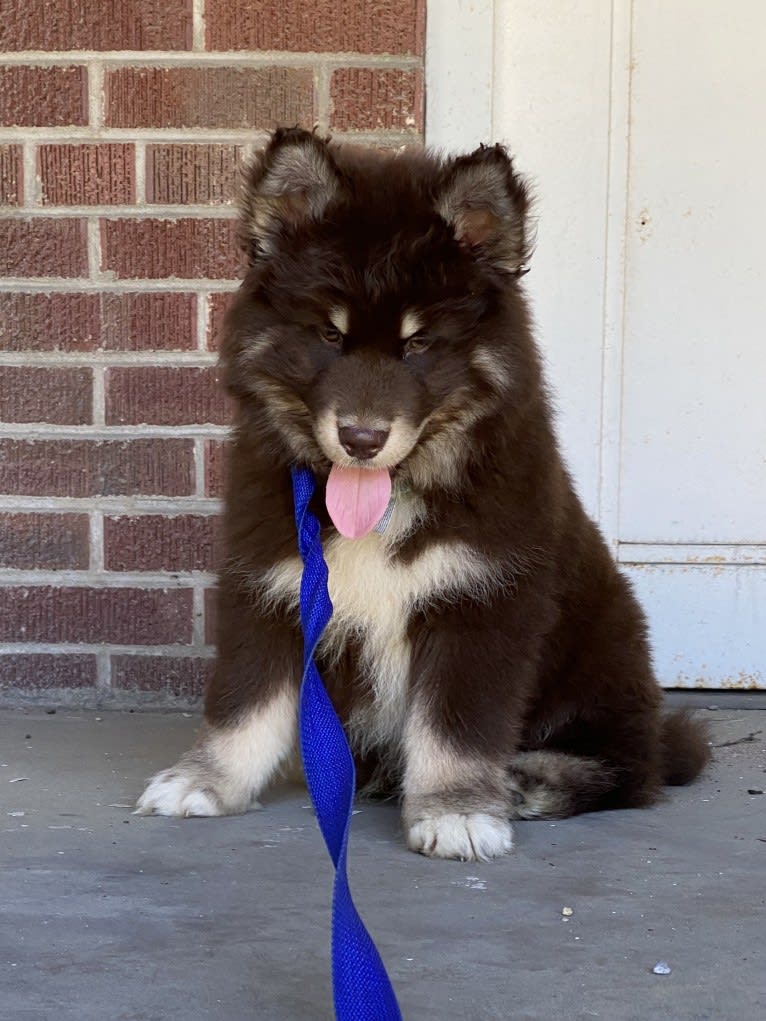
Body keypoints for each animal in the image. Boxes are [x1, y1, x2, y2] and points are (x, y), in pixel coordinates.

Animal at [134, 127, 710, 861]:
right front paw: (206, 780)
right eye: (329, 334)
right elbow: (245, 703)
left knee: (636, 765)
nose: (360, 437)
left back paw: (534, 781)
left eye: (420, 343)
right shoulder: (273, 587)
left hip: (605, 654)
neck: (386, 505)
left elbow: (456, 727)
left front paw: (457, 811)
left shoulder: (481, 603)